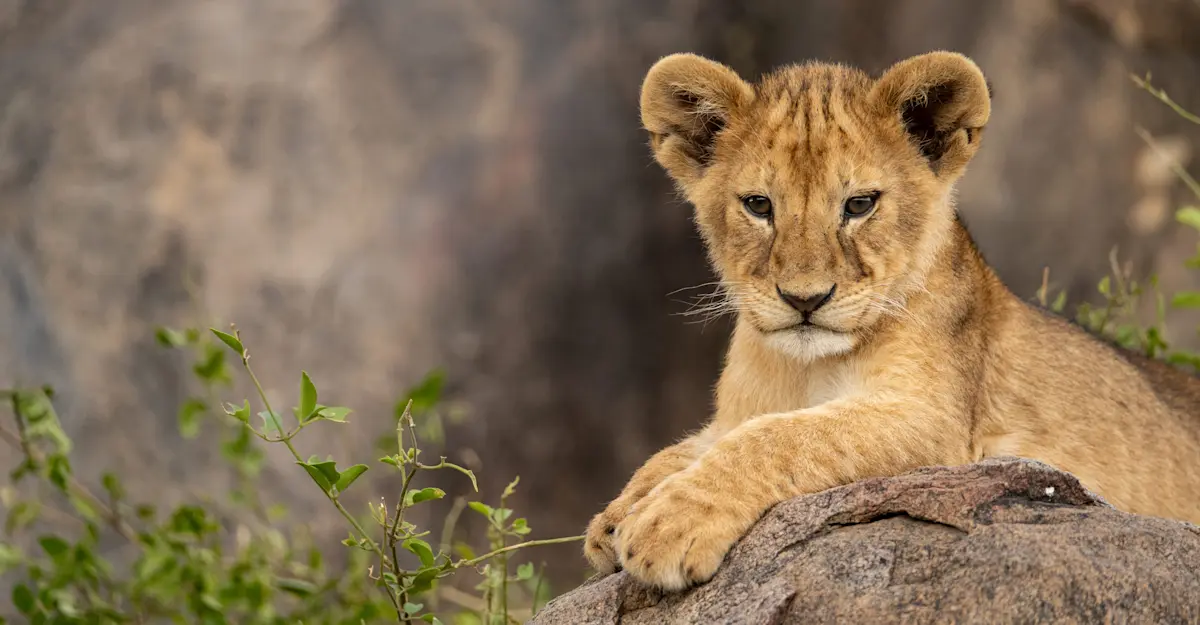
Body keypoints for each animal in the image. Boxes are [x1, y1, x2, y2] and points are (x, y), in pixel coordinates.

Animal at [583, 50, 1200, 591]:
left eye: (860, 205)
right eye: (758, 205)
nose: (804, 299)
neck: (805, 369)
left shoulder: (936, 424)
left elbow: (781, 437)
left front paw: (669, 523)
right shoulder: (737, 412)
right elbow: (689, 446)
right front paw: (617, 515)